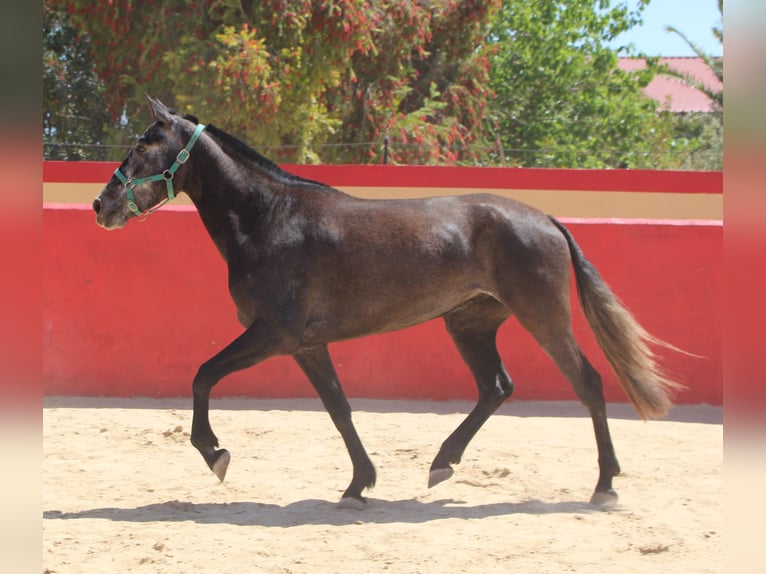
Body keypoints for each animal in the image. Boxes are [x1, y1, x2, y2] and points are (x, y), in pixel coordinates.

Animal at [93, 94, 680, 508]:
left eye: (143, 144)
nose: (103, 204)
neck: (270, 219)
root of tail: (548, 220)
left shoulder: (272, 334)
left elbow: (202, 376)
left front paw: (215, 453)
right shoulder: (306, 345)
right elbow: (339, 408)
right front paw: (359, 484)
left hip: (544, 317)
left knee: (589, 384)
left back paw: (605, 484)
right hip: (469, 324)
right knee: (496, 387)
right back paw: (442, 463)